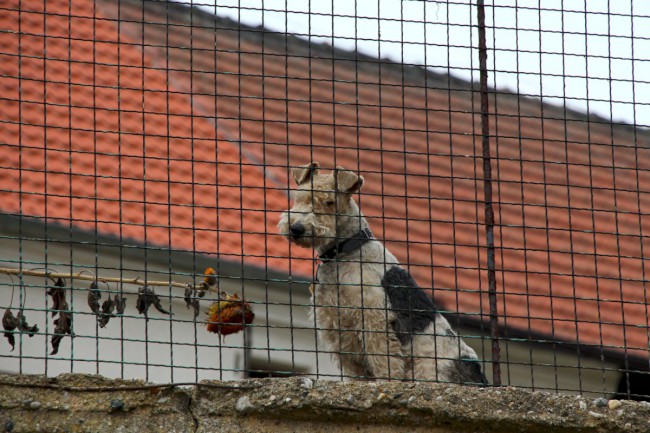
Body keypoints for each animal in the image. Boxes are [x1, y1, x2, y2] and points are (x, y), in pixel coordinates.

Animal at [278, 160, 486, 384]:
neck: (346, 251)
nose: (296, 228)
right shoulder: (336, 323)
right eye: (299, 196)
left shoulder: (374, 316)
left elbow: (383, 360)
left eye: (329, 202)